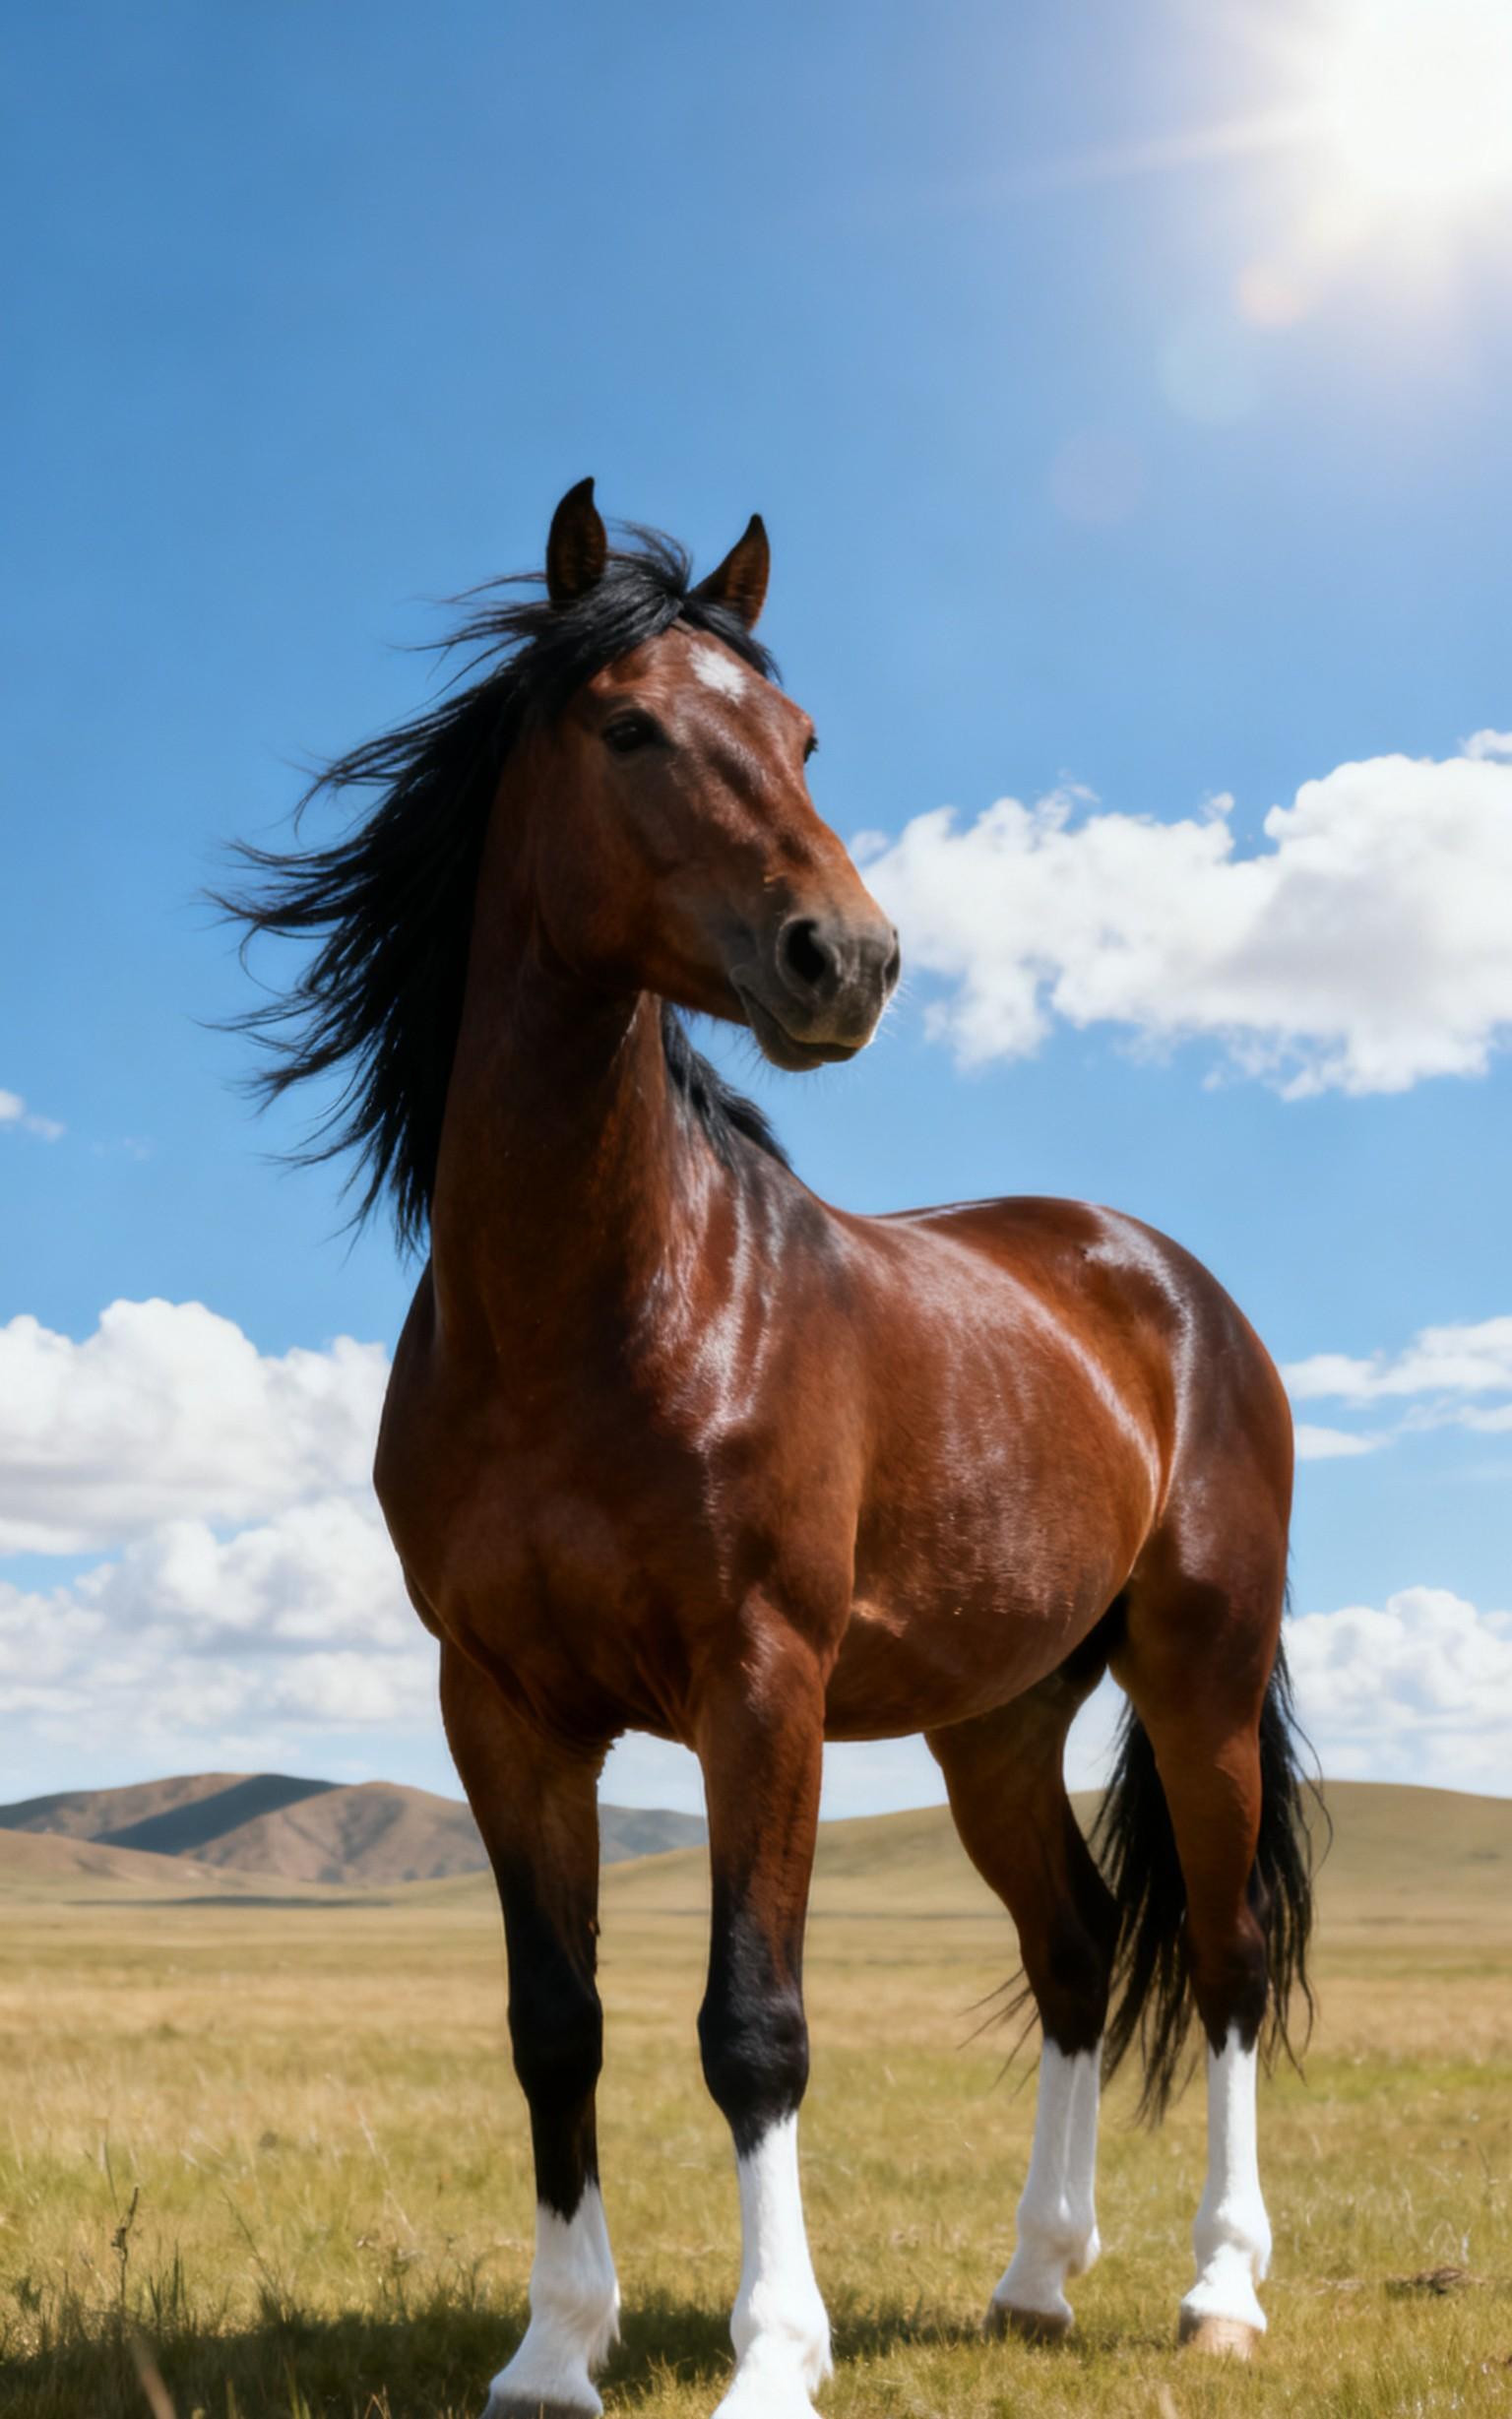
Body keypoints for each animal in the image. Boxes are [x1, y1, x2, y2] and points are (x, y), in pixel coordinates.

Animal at [228, 479, 1314, 2419]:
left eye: (804, 738)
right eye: (631, 729)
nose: (851, 959)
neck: (595, 1315)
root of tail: (1168, 1282)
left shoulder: (761, 1686)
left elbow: (755, 2027)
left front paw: (773, 2354)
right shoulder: (501, 1706)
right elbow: (554, 2021)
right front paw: (552, 2348)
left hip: (1198, 1680)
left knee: (1223, 1957)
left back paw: (1217, 2291)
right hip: (995, 1721)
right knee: (1073, 1951)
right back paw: (1033, 2280)